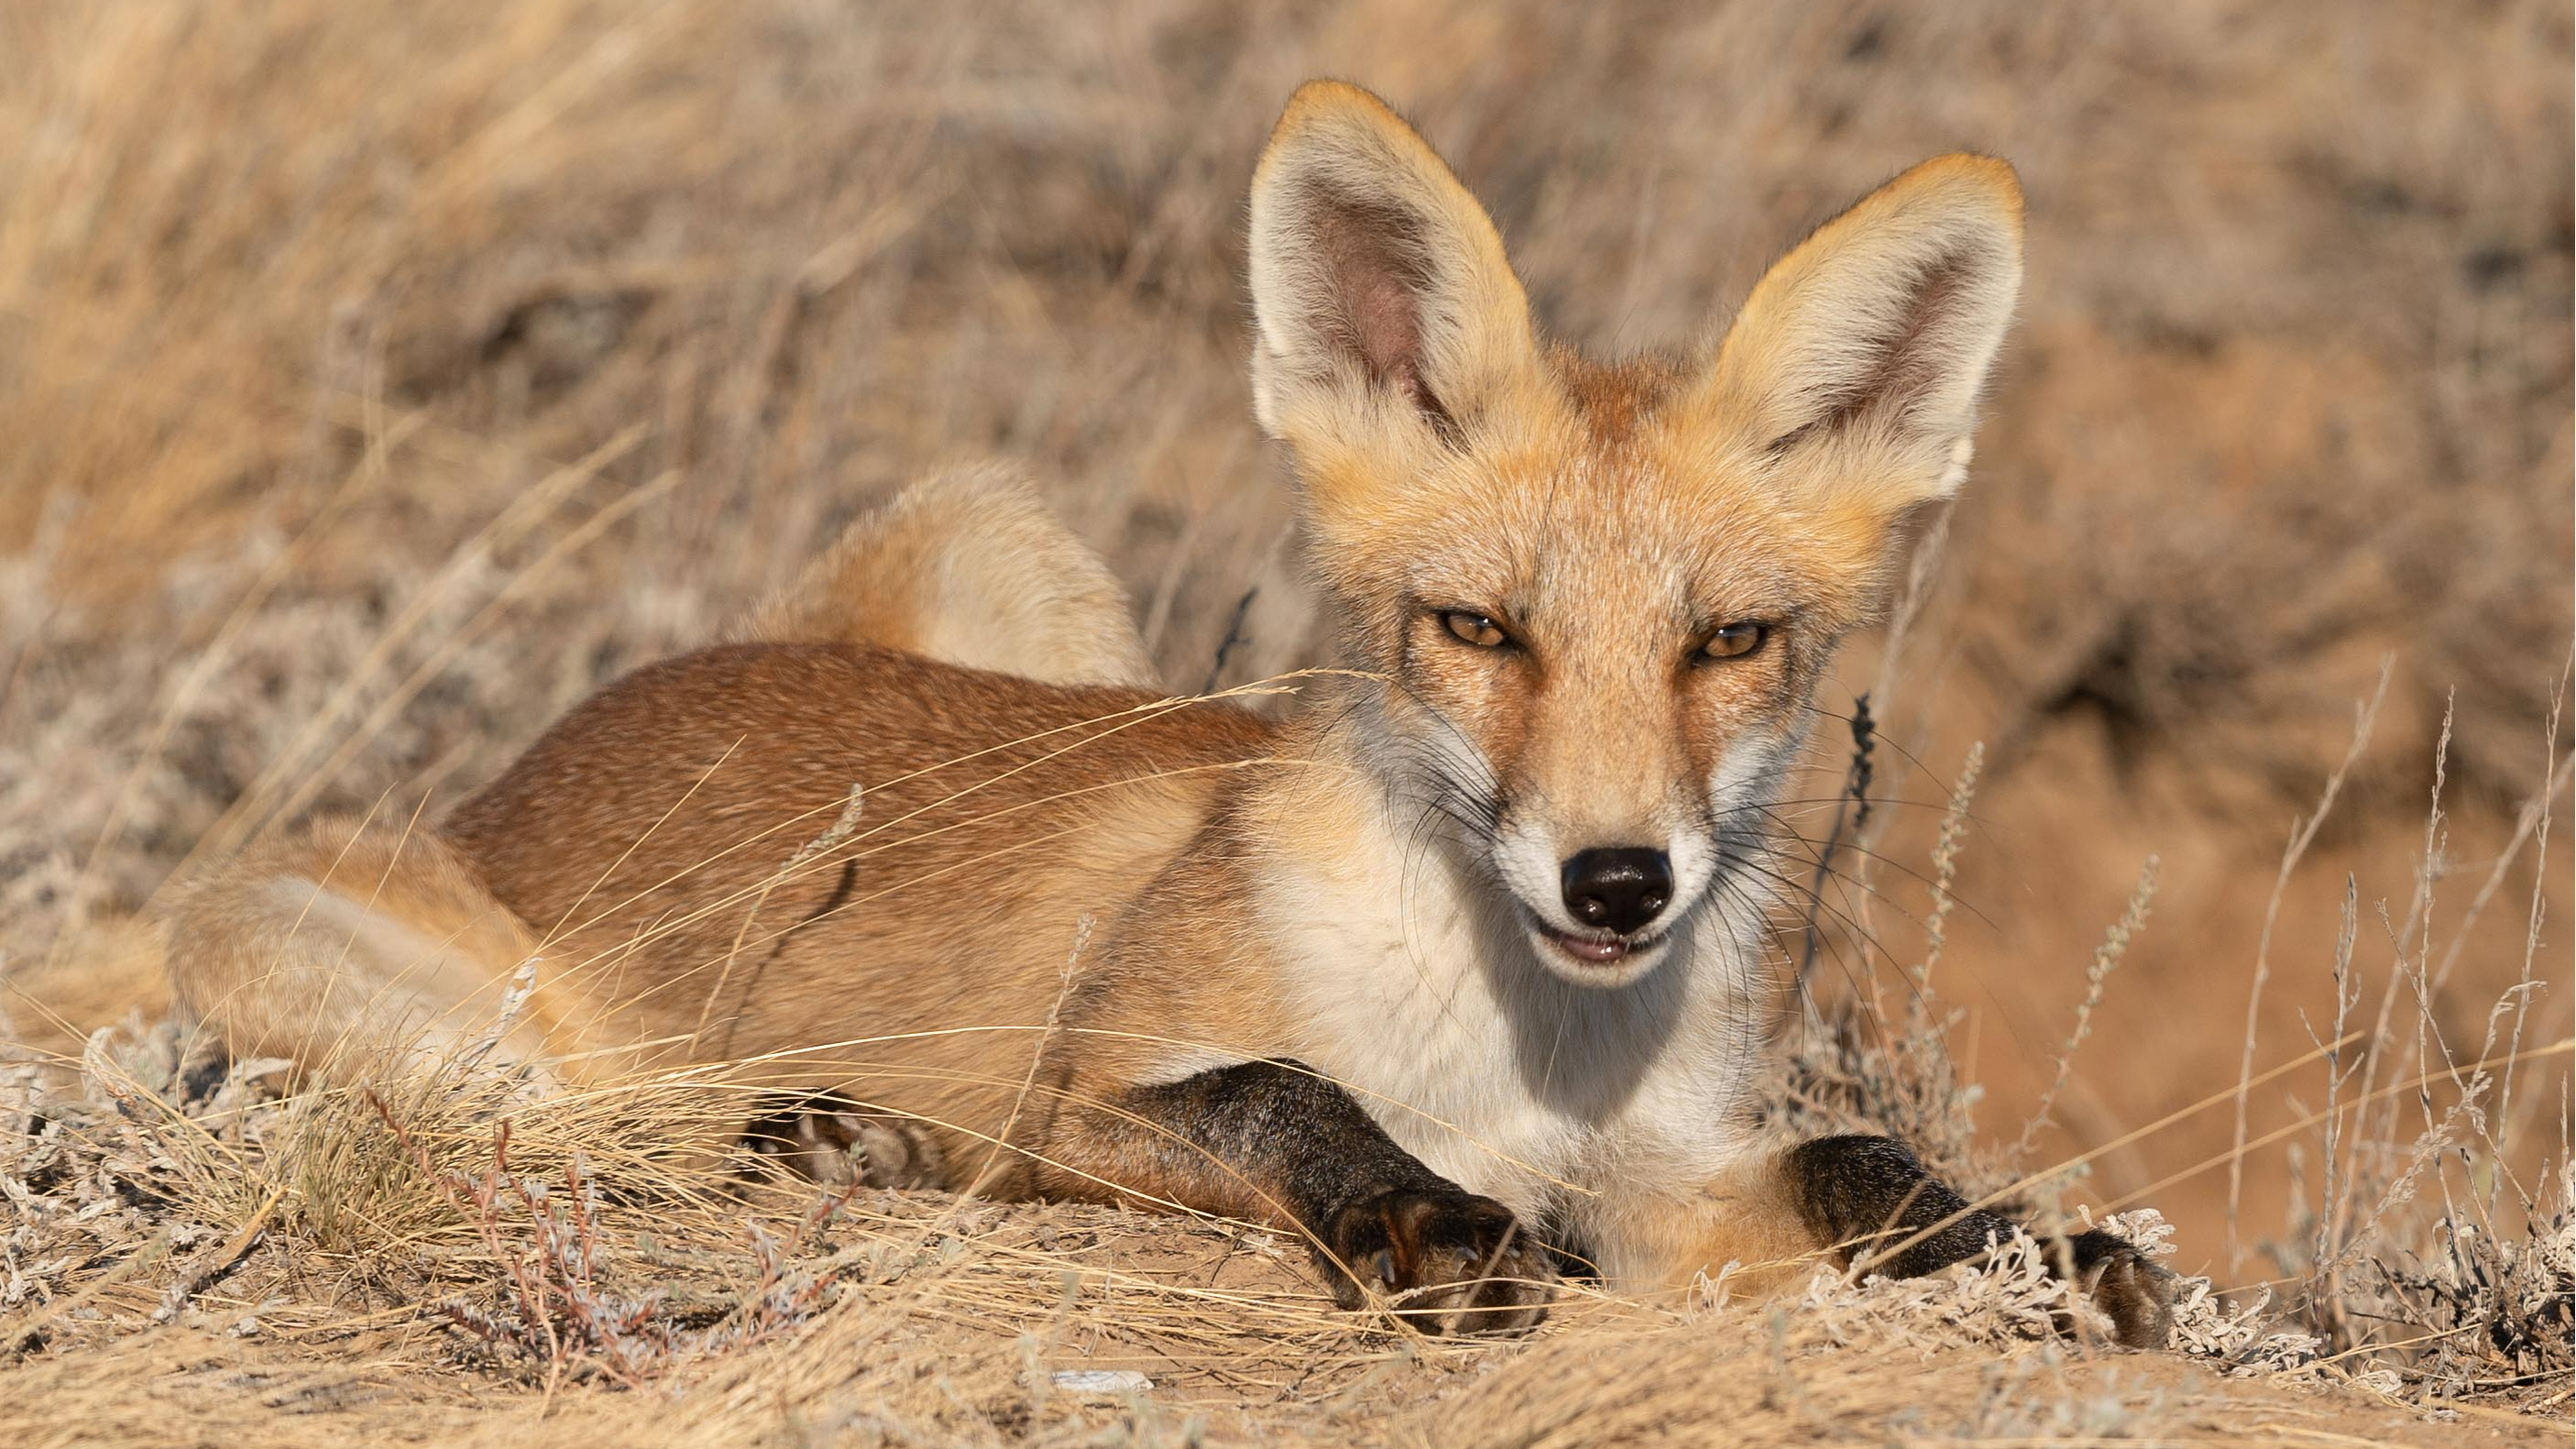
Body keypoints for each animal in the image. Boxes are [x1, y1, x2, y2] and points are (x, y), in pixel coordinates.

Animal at [156, 82, 2174, 1340]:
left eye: (1729, 643)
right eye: (1477, 629)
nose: (1617, 882)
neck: (1511, 1059)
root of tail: (553, 745)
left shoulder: (1654, 1182)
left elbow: (1863, 1160)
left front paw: (2037, 1250)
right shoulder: (1079, 1088)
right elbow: (1282, 1089)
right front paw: (1419, 1216)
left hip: (1013, 548)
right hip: (314, 954)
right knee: (582, 1127)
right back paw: (812, 1132)